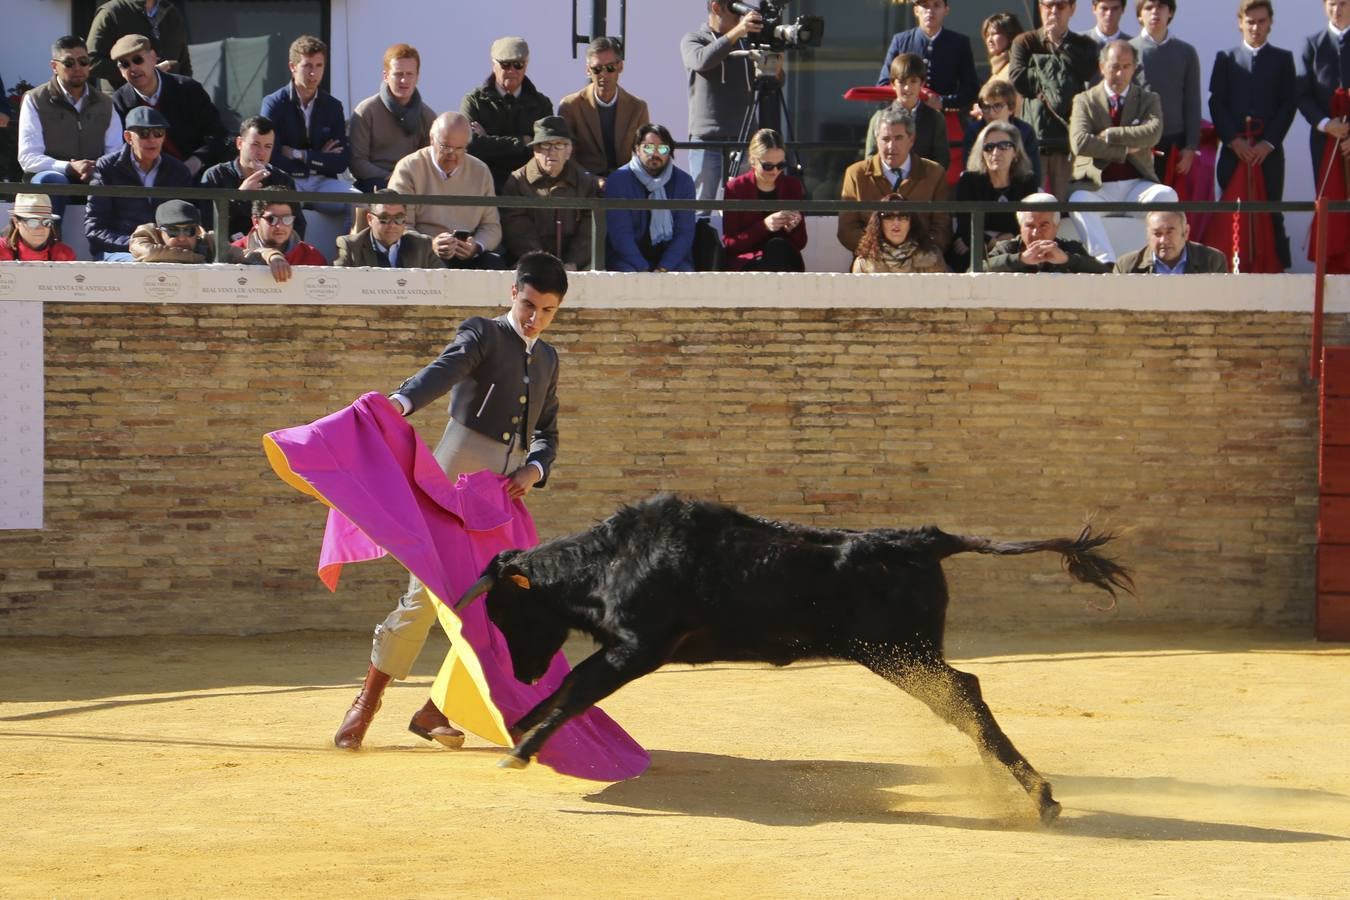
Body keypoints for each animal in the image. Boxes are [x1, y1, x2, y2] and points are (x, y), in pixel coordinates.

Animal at [453, 493, 1128, 825]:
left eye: (506, 612)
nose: (521, 671)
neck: (614, 559)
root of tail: (922, 538)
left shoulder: (637, 650)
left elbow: (576, 690)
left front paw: (520, 749)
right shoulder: (627, 653)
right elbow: (568, 691)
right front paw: (519, 723)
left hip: (900, 654)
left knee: (964, 692)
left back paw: (1040, 798)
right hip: (902, 655)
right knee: (963, 695)